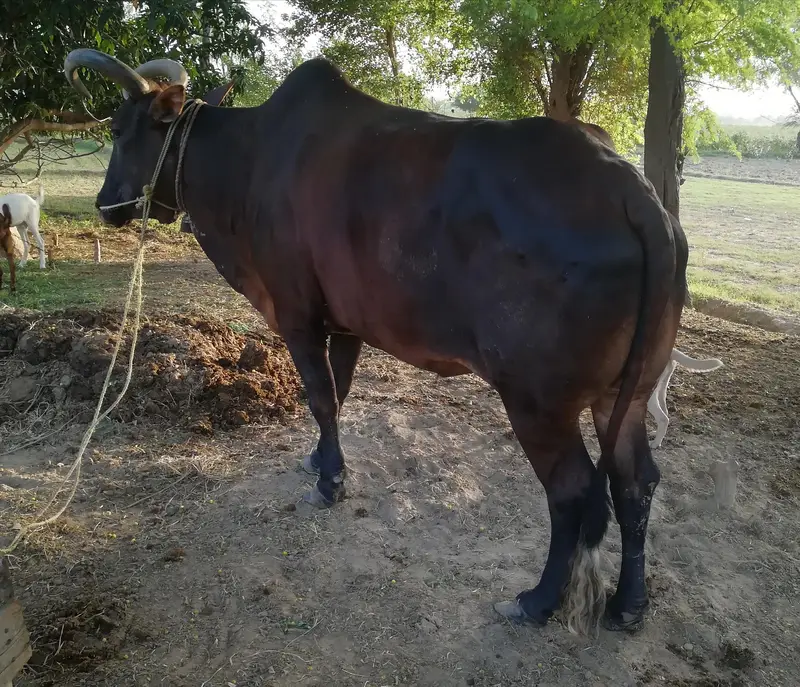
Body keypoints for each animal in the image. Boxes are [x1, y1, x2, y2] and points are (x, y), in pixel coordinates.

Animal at [64, 48, 689, 636]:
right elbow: (337, 396)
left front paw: (329, 483)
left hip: (537, 400)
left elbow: (319, 397)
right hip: (625, 395)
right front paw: (320, 459)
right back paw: (629, 605)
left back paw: (536, 602)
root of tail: (633, 190)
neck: (249, 162)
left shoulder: (296, 313)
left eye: (118, 130)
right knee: (636, 482)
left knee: (574, 492)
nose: (106, 204)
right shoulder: (345, 324)